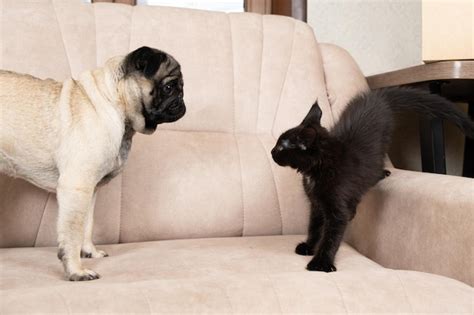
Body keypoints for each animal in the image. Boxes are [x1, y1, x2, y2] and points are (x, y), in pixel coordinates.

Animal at [0, 47, 185, 282]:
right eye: (169, 86)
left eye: (180, 87)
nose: (182, 98)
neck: (112, 102)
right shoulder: (76, 187)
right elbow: (72, 231)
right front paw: (76, 270)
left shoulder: (90, 190)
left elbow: (87, 224)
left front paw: (89, 251)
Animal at [270, 87, 474, 272]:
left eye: (281, 147)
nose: (272, 152)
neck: (317, 169)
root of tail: (378, 96)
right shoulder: (317, 203)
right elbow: (314, 226)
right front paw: (309, 246)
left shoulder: (336, 207)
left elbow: (331, 236)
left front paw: (321, 263)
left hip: (381, 142)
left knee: (374, 168)